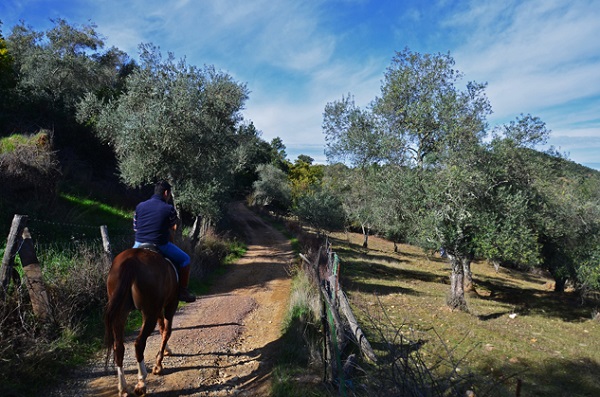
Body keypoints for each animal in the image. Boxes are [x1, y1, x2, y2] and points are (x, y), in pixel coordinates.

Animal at [103, 246, 179, 394]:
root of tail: (130, 261)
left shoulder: (158, 309)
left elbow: (161, 328)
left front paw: (165, 351)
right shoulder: (171, 304)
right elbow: (166, 331)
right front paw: (158, 365)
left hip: (121, 312)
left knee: (118, 346)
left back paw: (123, 388)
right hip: (149, 313)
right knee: (139, 343)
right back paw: (141, 382)